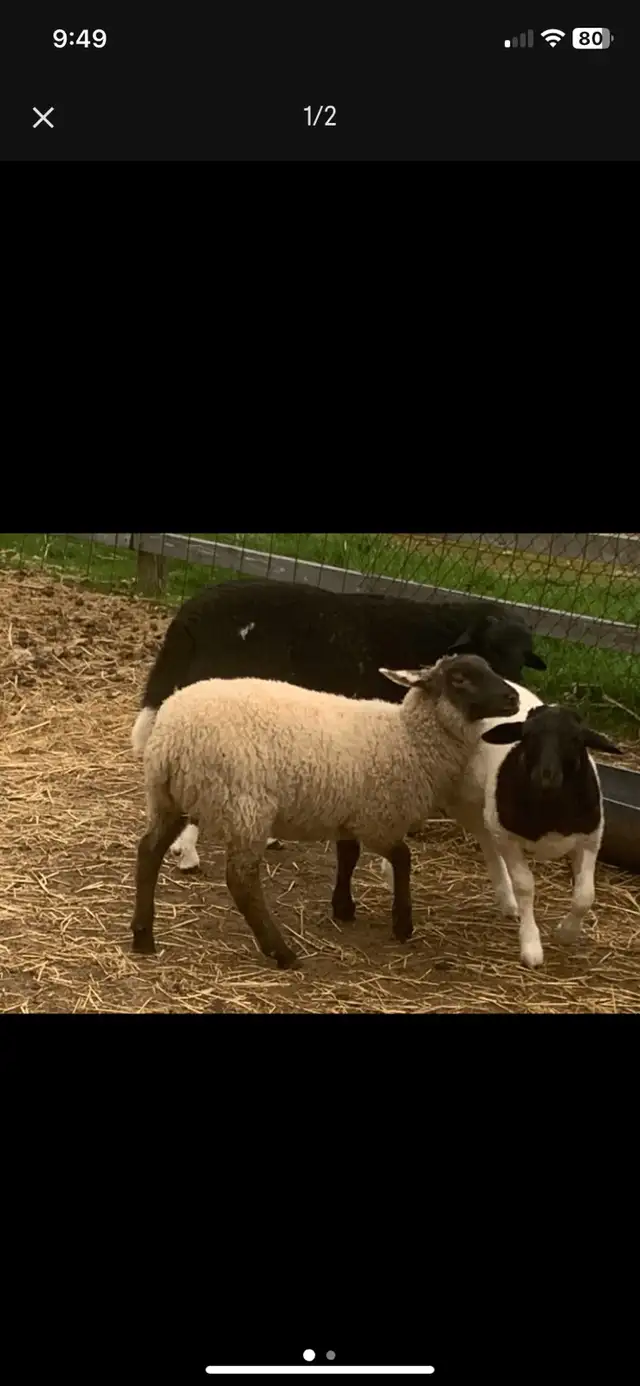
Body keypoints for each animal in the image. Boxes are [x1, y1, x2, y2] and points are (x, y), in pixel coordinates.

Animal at [129, 653, 519, 969]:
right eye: (460, 678)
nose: (513, 698)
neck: (407, 735)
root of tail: (171, 737)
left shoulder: (350, 812)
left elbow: (348, 856)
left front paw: (343, 907)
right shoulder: (378, 819)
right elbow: (403, 859)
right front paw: (402, 924)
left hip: (169, 799)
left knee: (148, 852)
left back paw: (143, 937)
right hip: (244, 805)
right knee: (241, 881)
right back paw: (282, 953)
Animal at [381, 680, 622, 968]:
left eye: (577, 740)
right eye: (526, 737)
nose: (545, 776)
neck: (550, 808)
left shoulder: (589, 839)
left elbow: (585, 896)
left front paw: (566, 933)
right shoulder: (509, 838)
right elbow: (525, 886)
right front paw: (531, 946)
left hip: (479, 808)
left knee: (486, 841)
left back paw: (508, 903)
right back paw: (388, 870)